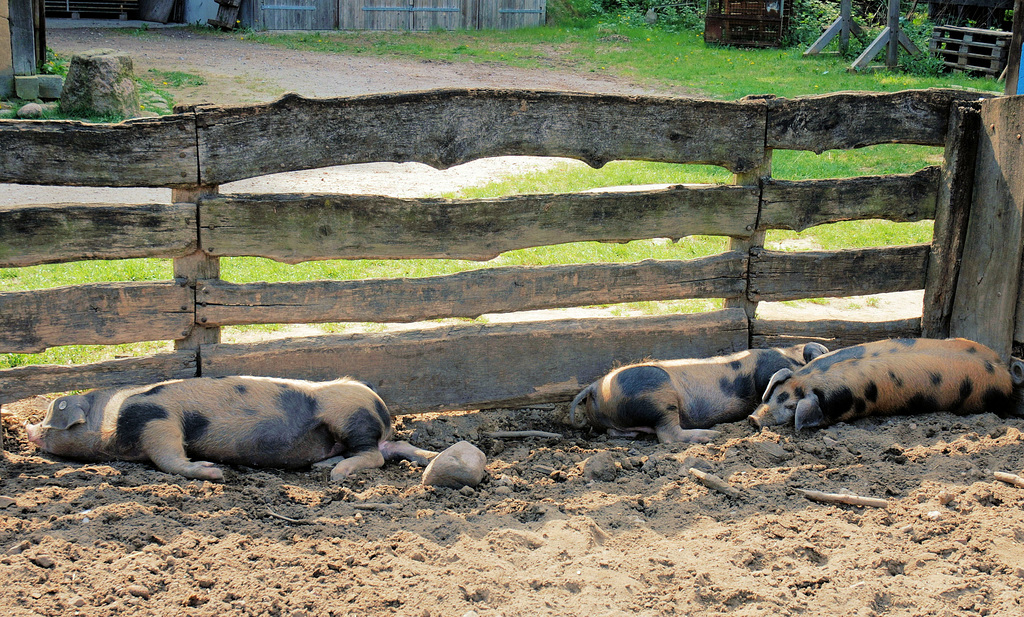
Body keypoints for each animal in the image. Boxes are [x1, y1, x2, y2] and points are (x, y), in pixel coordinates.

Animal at [24, 376, 432, 482]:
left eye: (51, 417)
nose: (29, 430)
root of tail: (384, 417)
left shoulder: (157, 418)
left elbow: (169, 455)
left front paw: (214, 473)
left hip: (350, 419)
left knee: (372, 457)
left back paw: (335, 474)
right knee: (385, 452)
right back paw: (325, 465)